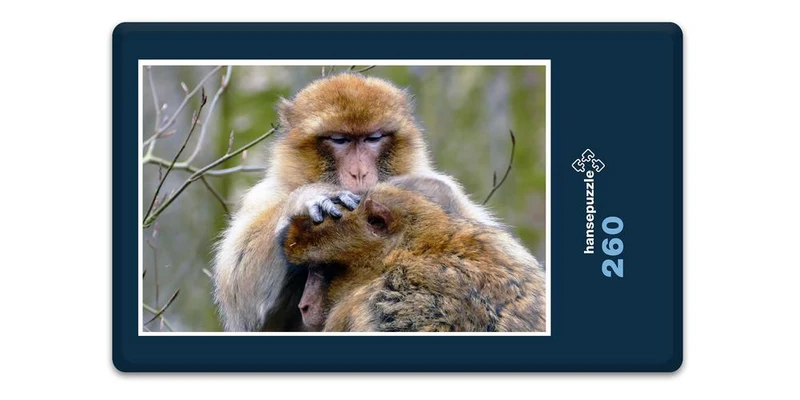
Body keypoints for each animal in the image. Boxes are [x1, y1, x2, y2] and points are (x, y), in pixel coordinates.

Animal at [212, 72, 501, 331]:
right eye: (340, 140)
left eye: (373, 139)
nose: (359, 172)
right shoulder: (264, 196)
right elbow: (240, 296)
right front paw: (309, 197)